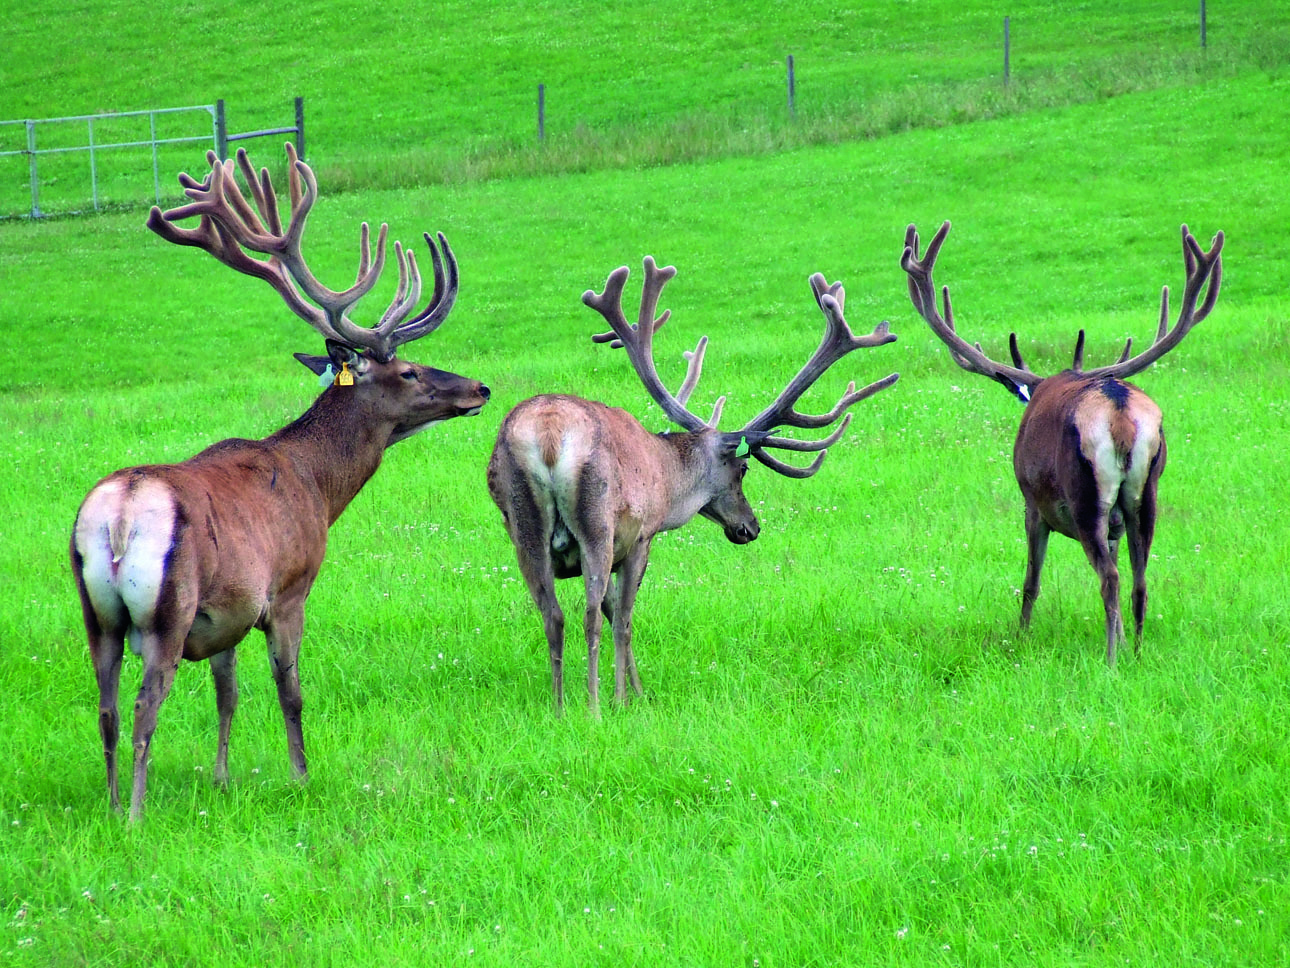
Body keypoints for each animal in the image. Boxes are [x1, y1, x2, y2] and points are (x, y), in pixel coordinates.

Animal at [71, 145, 492, 826]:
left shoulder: (226, 611)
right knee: (142, 707)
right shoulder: (289, 586)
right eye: (407, 370)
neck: (317, 486)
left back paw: (111, 805)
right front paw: (301, 775)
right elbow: (289, 690)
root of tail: (121, 514)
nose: (479, 388)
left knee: (106, 710)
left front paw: (221, 779)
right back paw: (134, 813)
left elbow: (227, 694)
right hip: (166, 610)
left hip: (99, 614)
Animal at [487, 255, 903, 712]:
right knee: (590, 615)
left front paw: (636, 690)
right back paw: (595, 707)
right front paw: (627, 698)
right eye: (743, 470)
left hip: (522, 528)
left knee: (553, 615)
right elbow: (623, 618)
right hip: (596, 523)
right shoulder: (641, 536)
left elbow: (614, 613)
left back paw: (560, 707)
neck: (665, 476)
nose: (751, 527)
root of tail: (547, 433)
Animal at [903, 219, 1222, 665]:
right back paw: (1136, 653)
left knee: (1110, 577)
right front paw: (1119, 638)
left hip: (1084, 495)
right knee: (1139, 580)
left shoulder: (1032, 504)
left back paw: (1110, 661)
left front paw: (1020, 637)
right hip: (1146, 494)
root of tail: (1119, 411)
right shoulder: (1115, 524)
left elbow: (1030, 581)